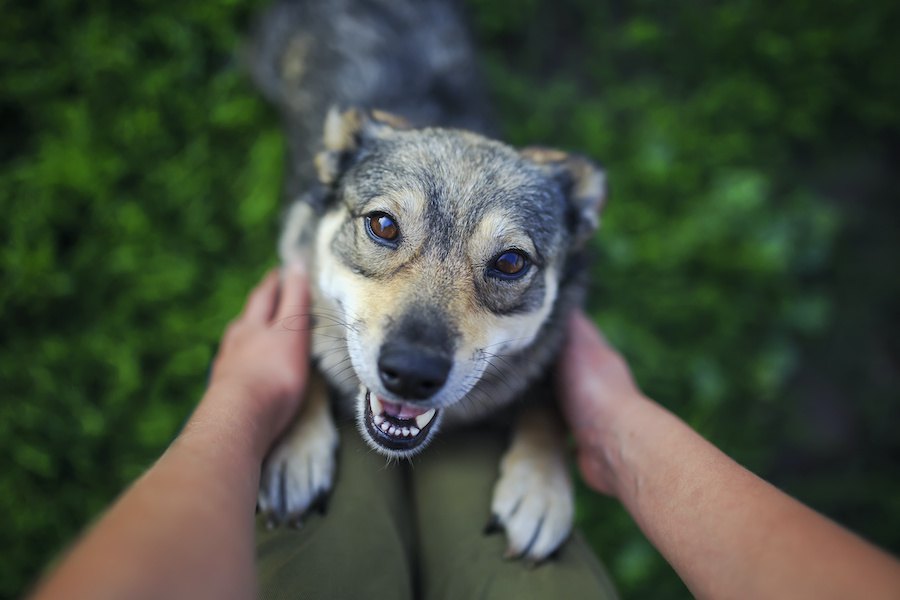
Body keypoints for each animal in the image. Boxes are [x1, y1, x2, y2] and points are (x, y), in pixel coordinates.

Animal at [250, 0, 608, 564]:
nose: (412, 374)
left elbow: (545, 394)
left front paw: (540, 486)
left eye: (511, 262)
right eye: (382, 224)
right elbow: (303, 349)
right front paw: (295, 446)